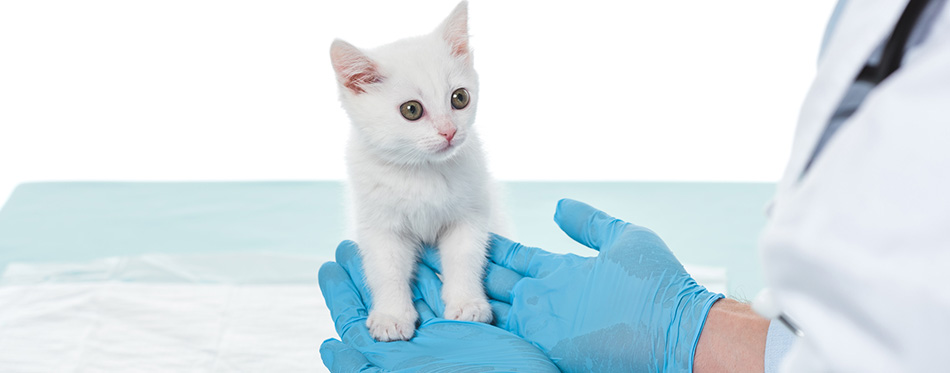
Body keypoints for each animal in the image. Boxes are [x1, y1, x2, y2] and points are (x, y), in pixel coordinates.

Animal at [330, 1, 502, 342]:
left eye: (460, 98)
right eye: (411, 110)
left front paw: (467, 304)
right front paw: (392, 316)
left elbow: (465, 257)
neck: (423, 172)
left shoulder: (471, 213)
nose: (449, 131)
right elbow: (386, 269)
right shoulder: (379, 225)